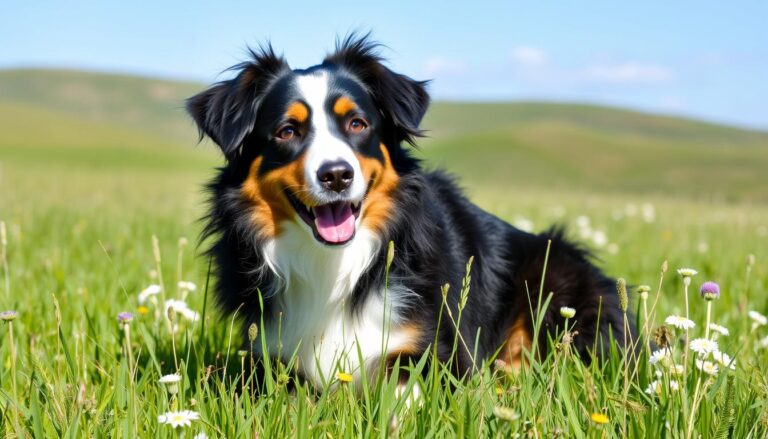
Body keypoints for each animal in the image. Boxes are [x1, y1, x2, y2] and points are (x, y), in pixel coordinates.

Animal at [188, 34, 632, 386]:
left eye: (357, 123)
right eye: (286, 131)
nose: (337, 175)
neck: (333, 266)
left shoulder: (436, 351)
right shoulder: (269, 356)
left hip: (553, 278)